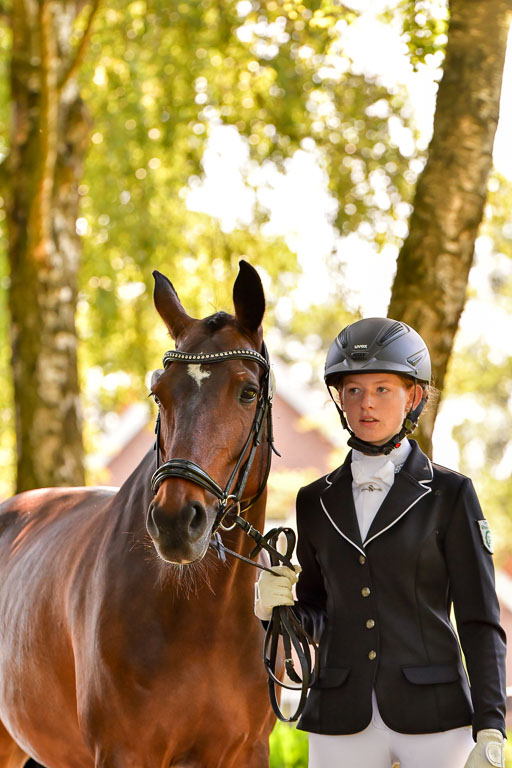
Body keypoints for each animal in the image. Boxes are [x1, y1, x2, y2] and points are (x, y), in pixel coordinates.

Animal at [0, 260, 277, 768]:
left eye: (248, 392)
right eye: (158, 394)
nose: (175, 522)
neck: (203, 619)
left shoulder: (249, 751)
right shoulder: (122, 750)